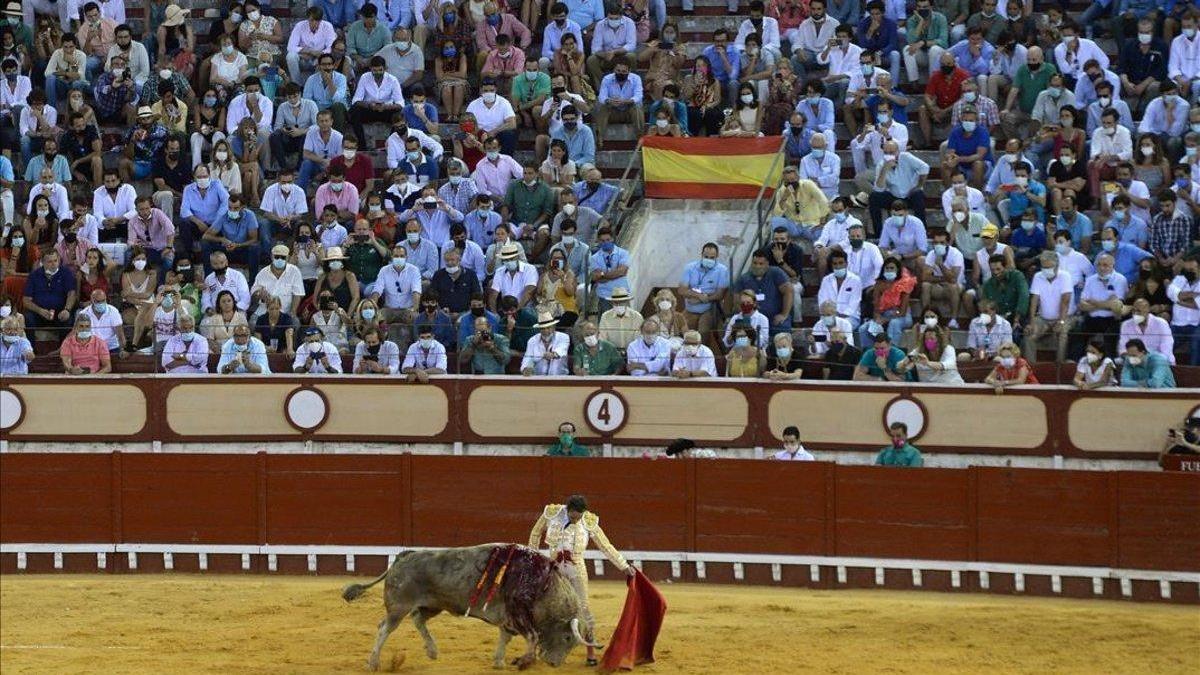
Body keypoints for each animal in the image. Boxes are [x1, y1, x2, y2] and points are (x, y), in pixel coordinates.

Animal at [338, 540, 600, 667]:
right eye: (567, 637)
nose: (555, 664)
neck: (544, 584)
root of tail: (404, 555)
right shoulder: (519, 613)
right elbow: (532, 637)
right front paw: (523, 662)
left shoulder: (509, 618)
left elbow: (506, 637)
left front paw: (499, 662)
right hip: (399, 607)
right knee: (385, 628)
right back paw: (373, 662)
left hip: (434, 604)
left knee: (418, 619)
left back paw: (432, 651)